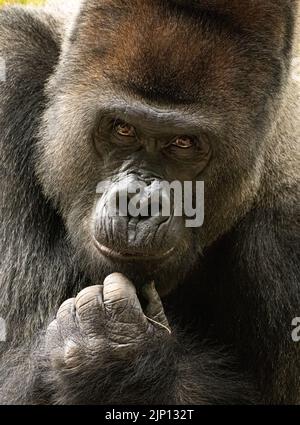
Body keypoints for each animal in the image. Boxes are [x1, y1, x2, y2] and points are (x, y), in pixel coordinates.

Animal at [0, 0, 298, 404]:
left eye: (184, 143)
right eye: (122, 129)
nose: (139, 205)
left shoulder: (289, 219)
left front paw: (120, 363)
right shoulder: (11, 67)